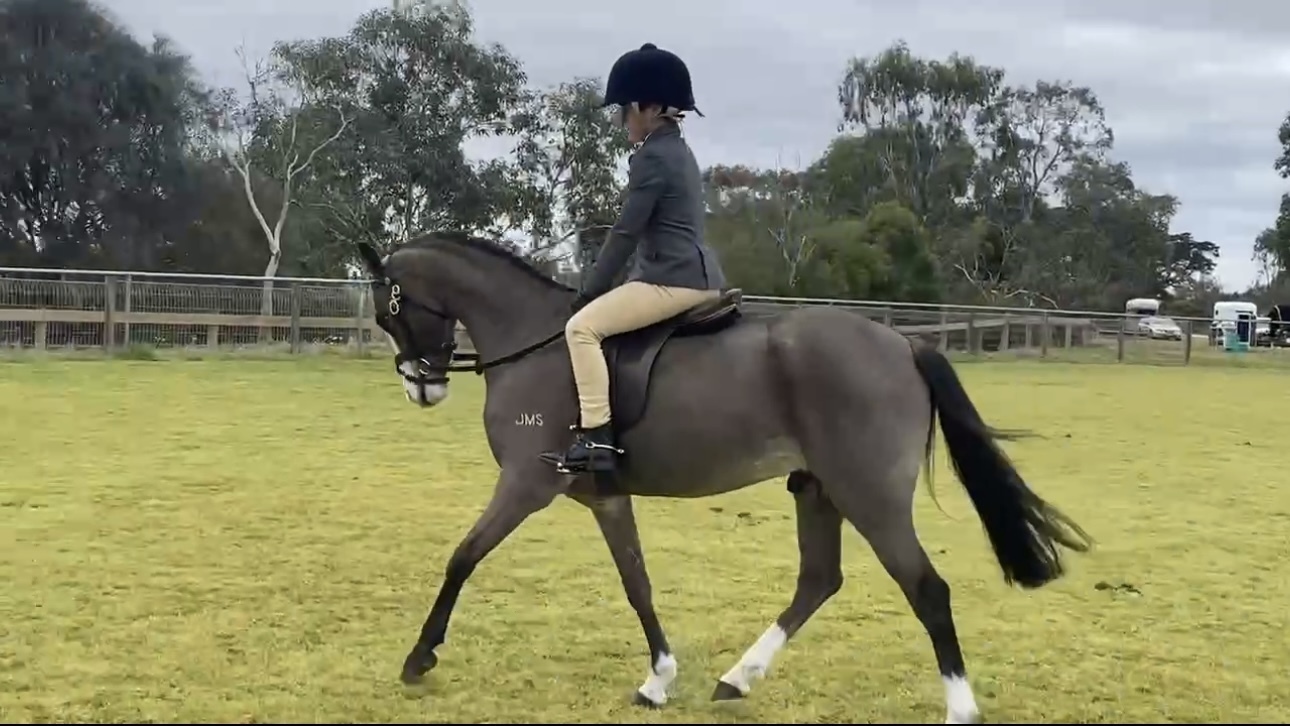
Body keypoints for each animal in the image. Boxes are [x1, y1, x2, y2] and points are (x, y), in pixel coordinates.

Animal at [354, 232, 1091, 723]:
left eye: (390, 311)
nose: (422, 387)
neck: (534, 340)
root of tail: (902, 343)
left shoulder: (526, 486)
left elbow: (462, 557)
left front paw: (419, 658)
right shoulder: (605, 498)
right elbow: (638, 584)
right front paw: (659, 679)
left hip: (870, 495)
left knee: (926, 591)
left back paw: (959, 709)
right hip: (819, 489)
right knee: (819, 580)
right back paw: (737, 680)